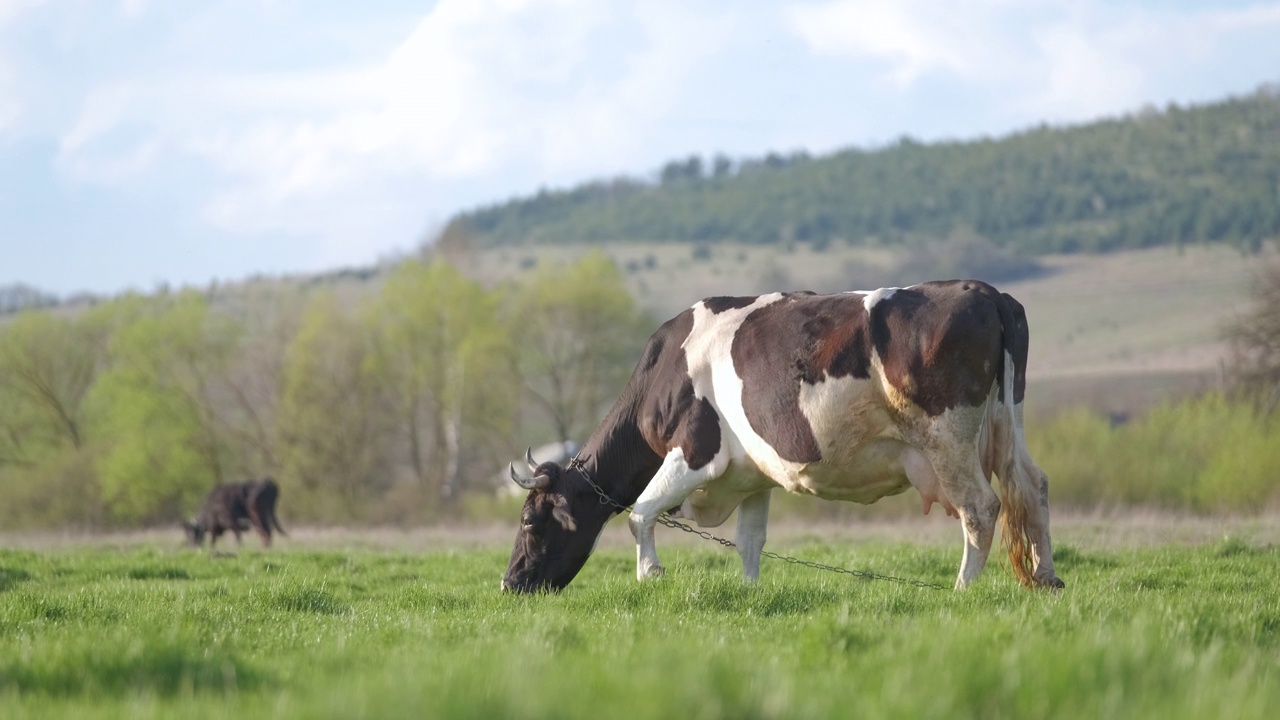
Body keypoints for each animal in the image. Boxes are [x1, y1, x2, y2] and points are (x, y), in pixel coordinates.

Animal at [504, 279, 1064, 589]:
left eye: (531, 522)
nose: (509, 584)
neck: (663, 370)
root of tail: (983, 291)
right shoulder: (752, 476)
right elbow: (750, 542)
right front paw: (751, 593)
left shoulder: (696, 452)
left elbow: (641, 513)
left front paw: (650, 577)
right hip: (1006, 428)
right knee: (1032, 486)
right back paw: (1046, 579)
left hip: (947, 439)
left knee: (981, 507)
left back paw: (962, 590)